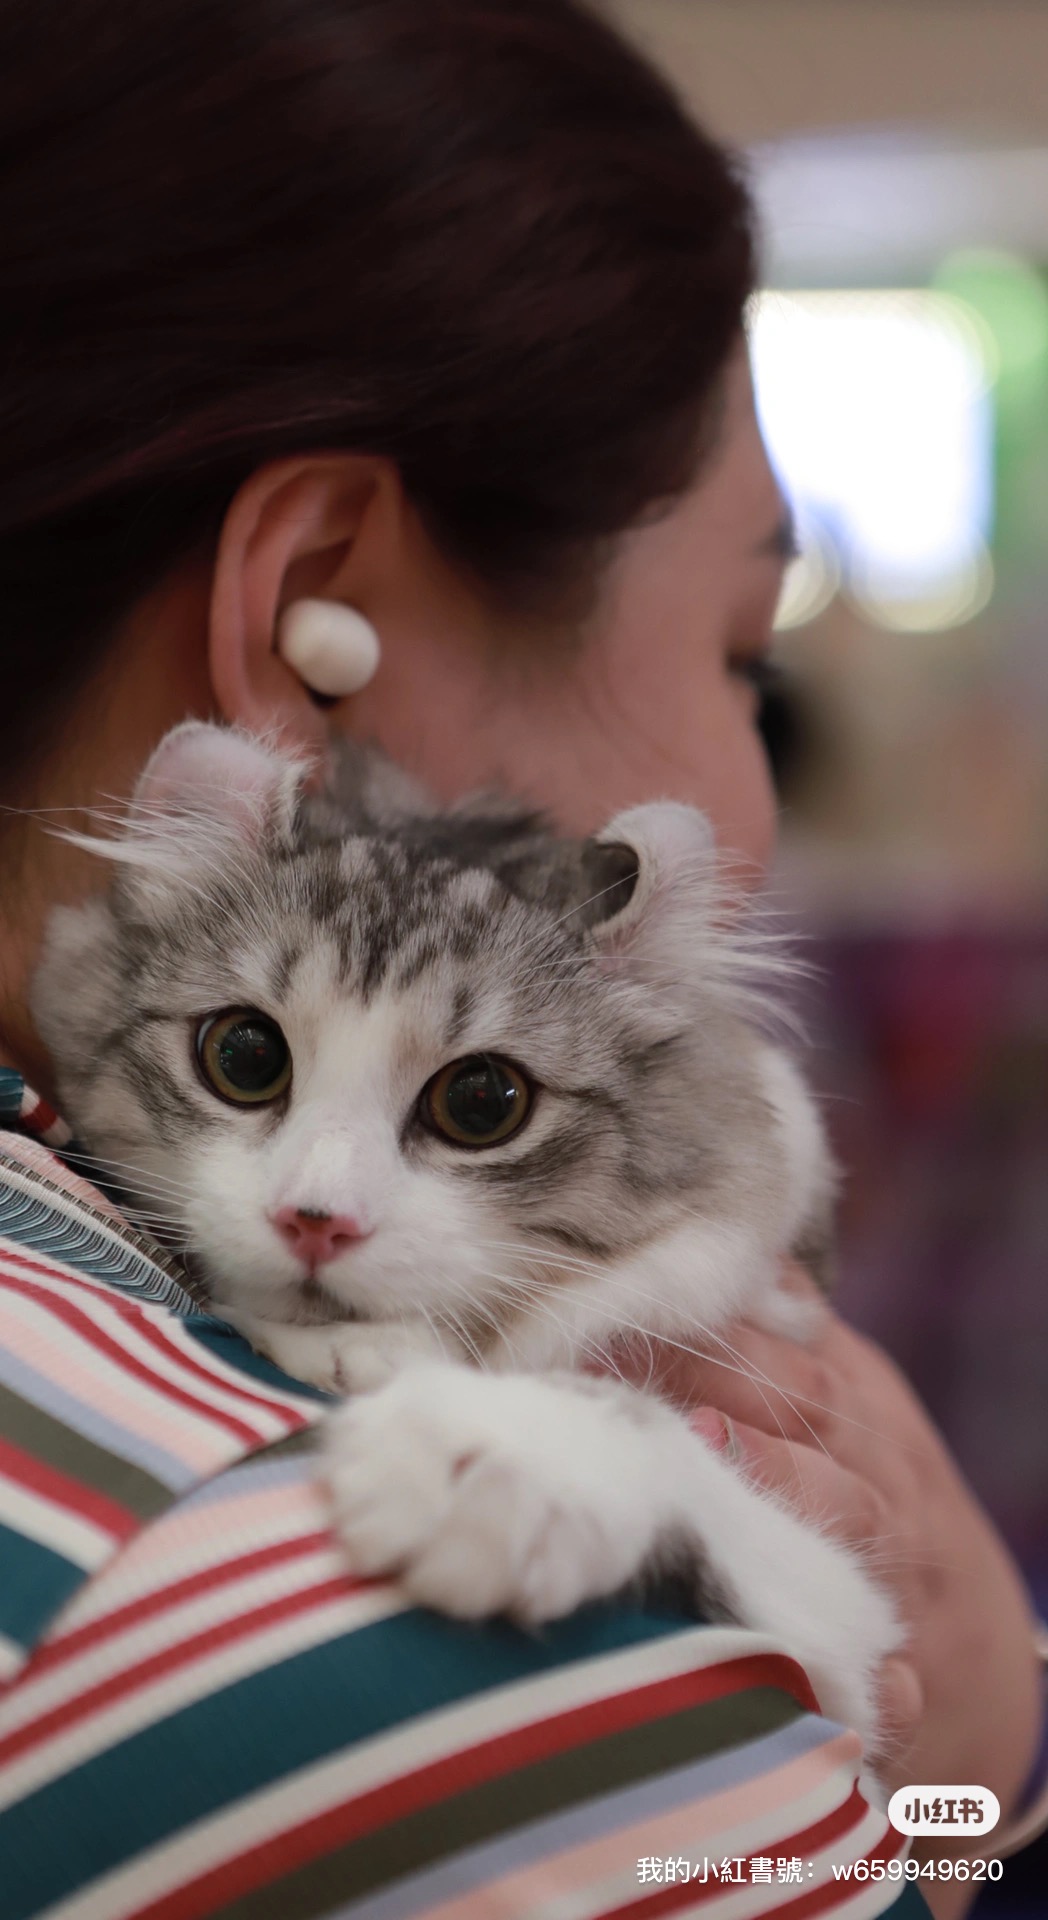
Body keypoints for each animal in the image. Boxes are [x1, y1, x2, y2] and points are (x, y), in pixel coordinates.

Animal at [32, 721, 898, 1758]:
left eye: (482, 1103)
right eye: (244, 1057)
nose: (315, 1219)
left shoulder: (847, 1626)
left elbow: (632, 1415)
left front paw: (475, 1456)